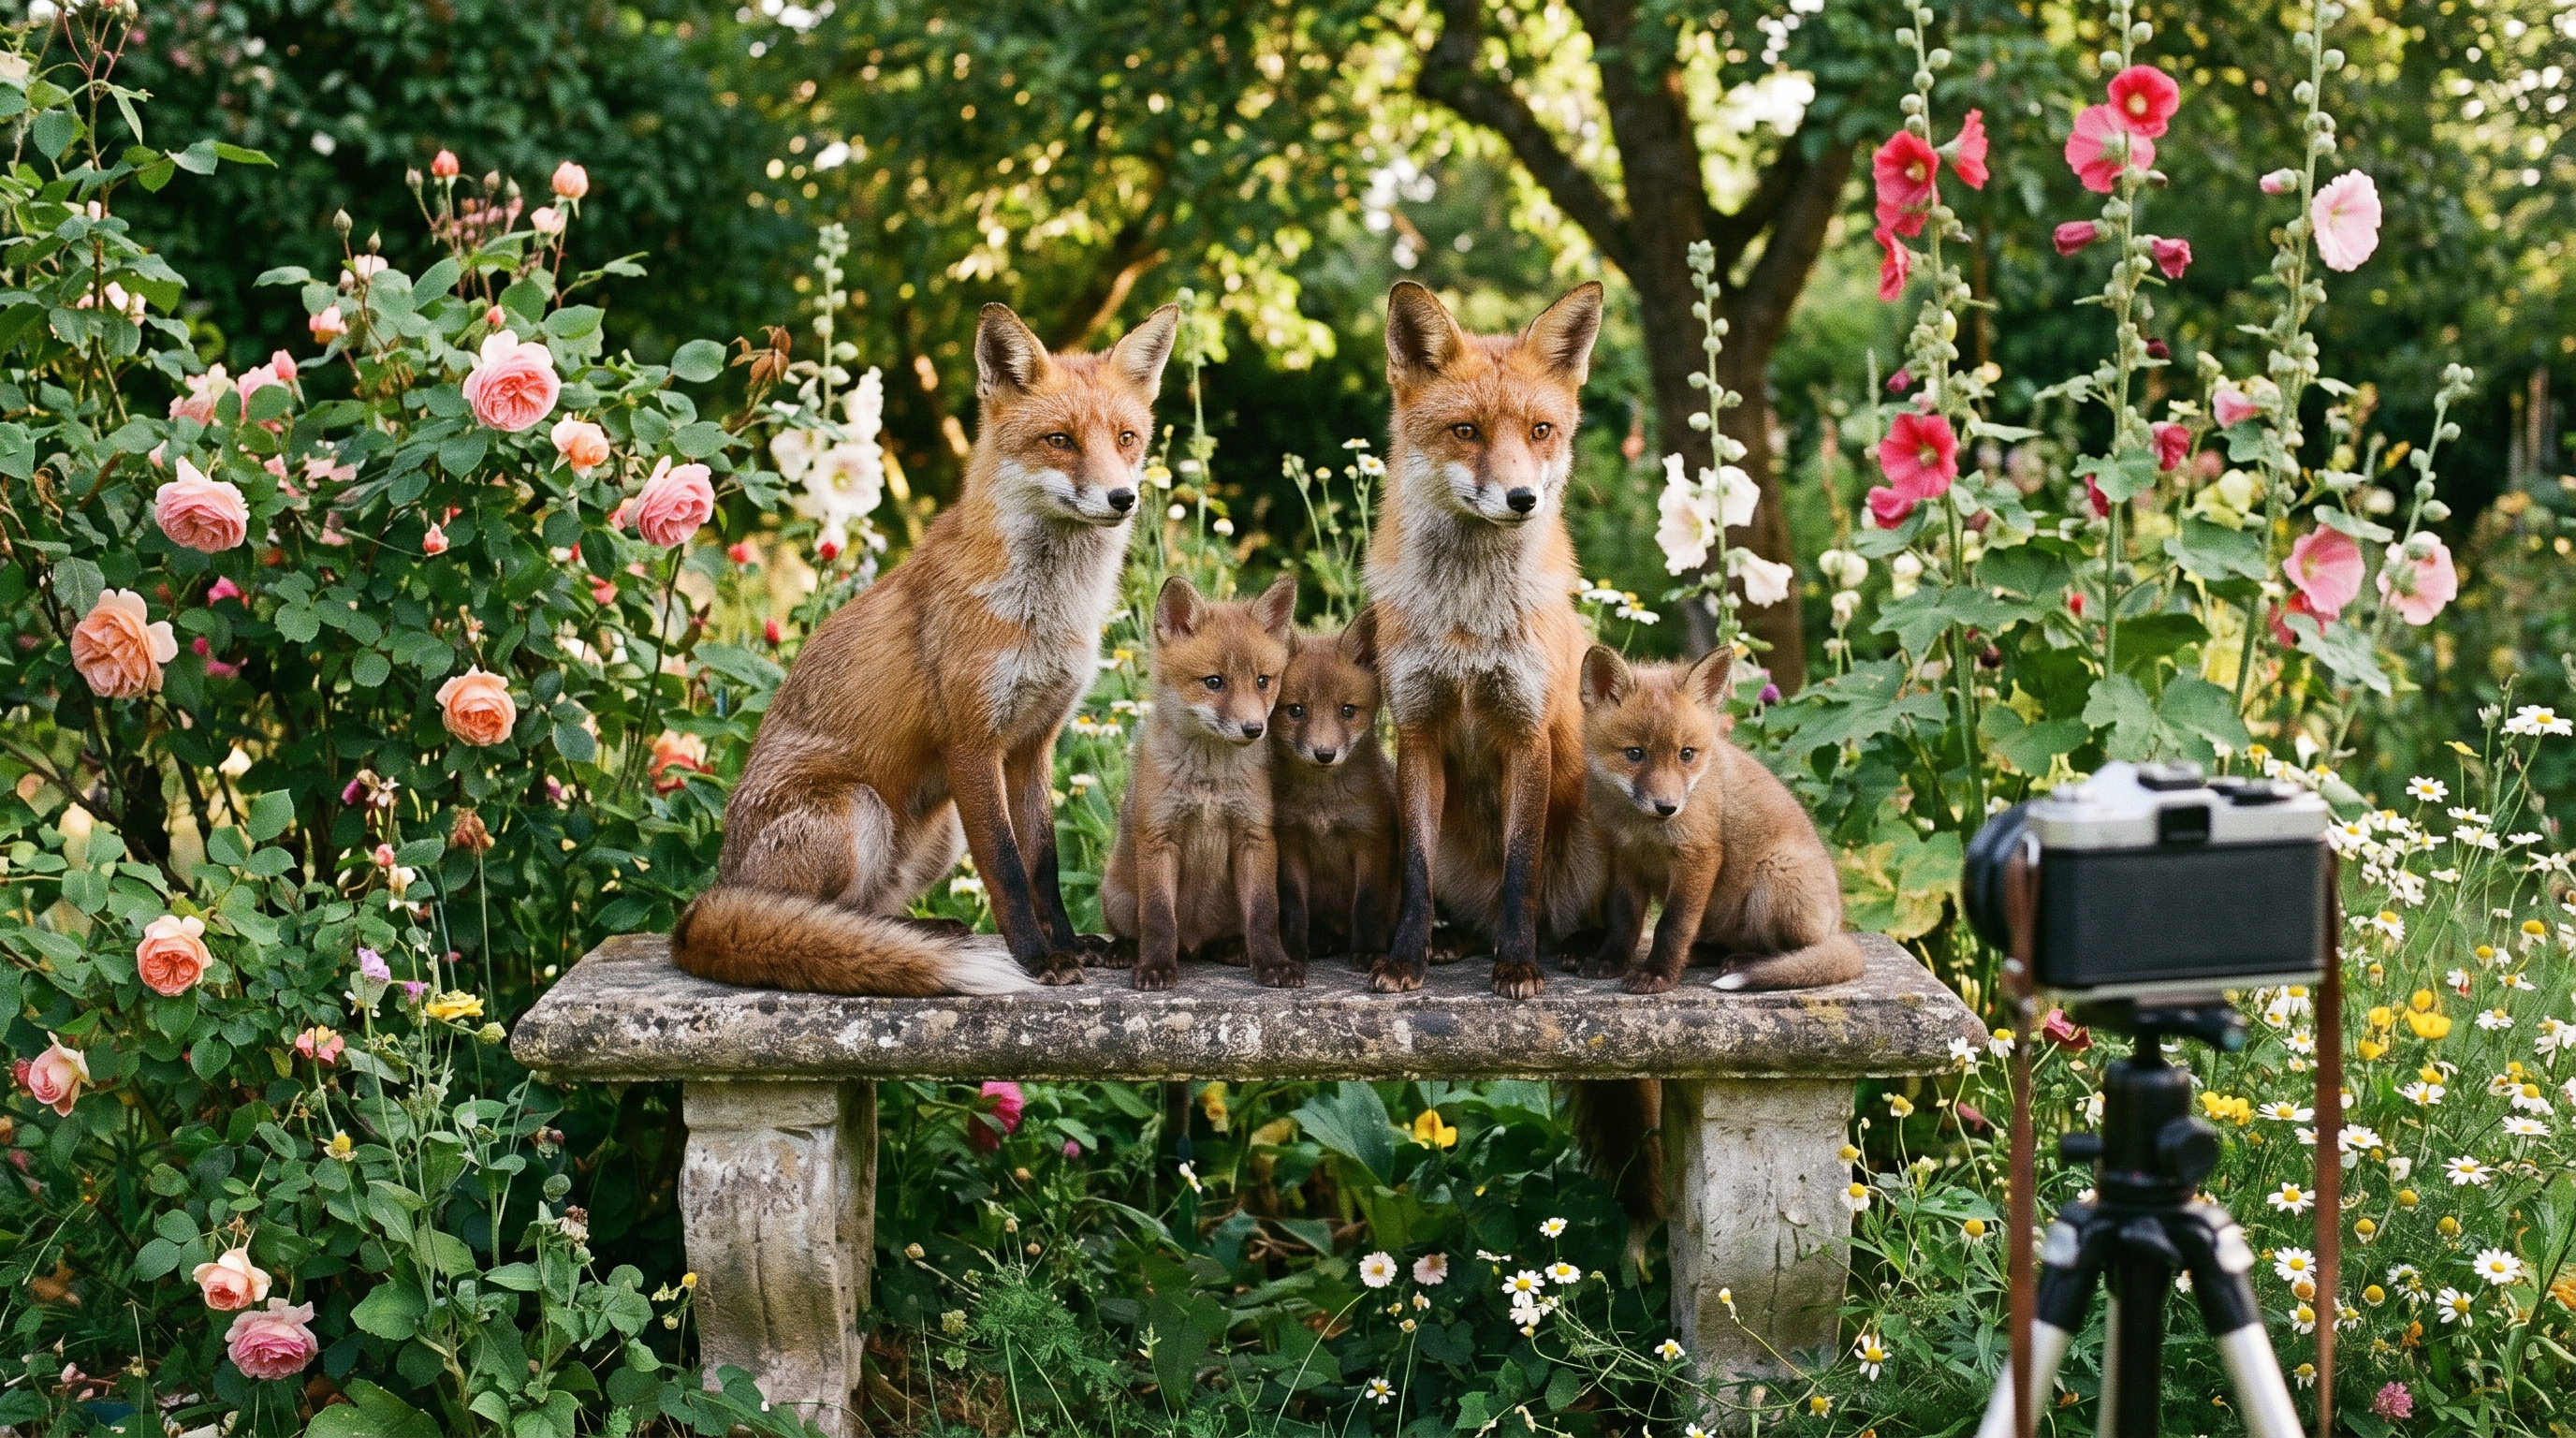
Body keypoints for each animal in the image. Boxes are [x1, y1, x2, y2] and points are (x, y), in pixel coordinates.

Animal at [670, 301, 1180, 997]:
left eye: (1126, 438)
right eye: (1060, 441)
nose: (1122, 499)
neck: (1044, 611)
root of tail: (705, 903)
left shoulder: (1033, 745)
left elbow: (1043, 865)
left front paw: (1071, 944)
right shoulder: (972, 741)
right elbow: (1008, 869)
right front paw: (1037, 958)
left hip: (940, 834)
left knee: (863, 913)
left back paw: (918, 933)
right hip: (857, 812)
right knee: (805, 919)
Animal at [1100, 573, 1302, 990]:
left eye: (1263, 681)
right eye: (1214, 682)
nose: (1254, 729)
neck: (1209, 783)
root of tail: (1192, 943)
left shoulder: (1255, 835)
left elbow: (1264, 915)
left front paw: (1274, 963)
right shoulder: (1158, 837)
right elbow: (1158, 918)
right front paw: (1155, 967)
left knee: (1230, 933)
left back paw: (1234, 948)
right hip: (1117, 896)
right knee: (1136, 930)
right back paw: (1125, 951)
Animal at [1269, 606, 1399, 967]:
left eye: (1347, 711)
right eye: (1296, 710)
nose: (1325, 754)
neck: (1323, 808)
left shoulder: (1372, 840)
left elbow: (1367, 905)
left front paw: (1369, 951)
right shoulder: (1291, 843)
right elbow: (1294, 907)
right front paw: (1294, 950)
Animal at [1362, 280, 1608, 999]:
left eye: (1540, 431)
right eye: (1466, 431)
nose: (1522, 498)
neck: (1469, 623)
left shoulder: (1527, 734)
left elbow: (1520, 871)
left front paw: (1518, 965)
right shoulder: (1417, 731)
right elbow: (1416, 875)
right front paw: (1406, 959)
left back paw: (1581, 949)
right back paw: (1456, 942)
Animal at [1569, 642, 1864, 1224]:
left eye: (1687, 754)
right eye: (1634, 753)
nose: (1667, 806)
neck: (1645, 832)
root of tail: (1839, 921)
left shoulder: (1698, 858)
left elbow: (1670, 927)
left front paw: (1657, 977)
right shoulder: (1624, 861)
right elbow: (1624, 923)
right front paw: (1610, 962)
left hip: (1774, 881)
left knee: (1791, 949)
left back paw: (1741, 962)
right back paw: (1710, 955)